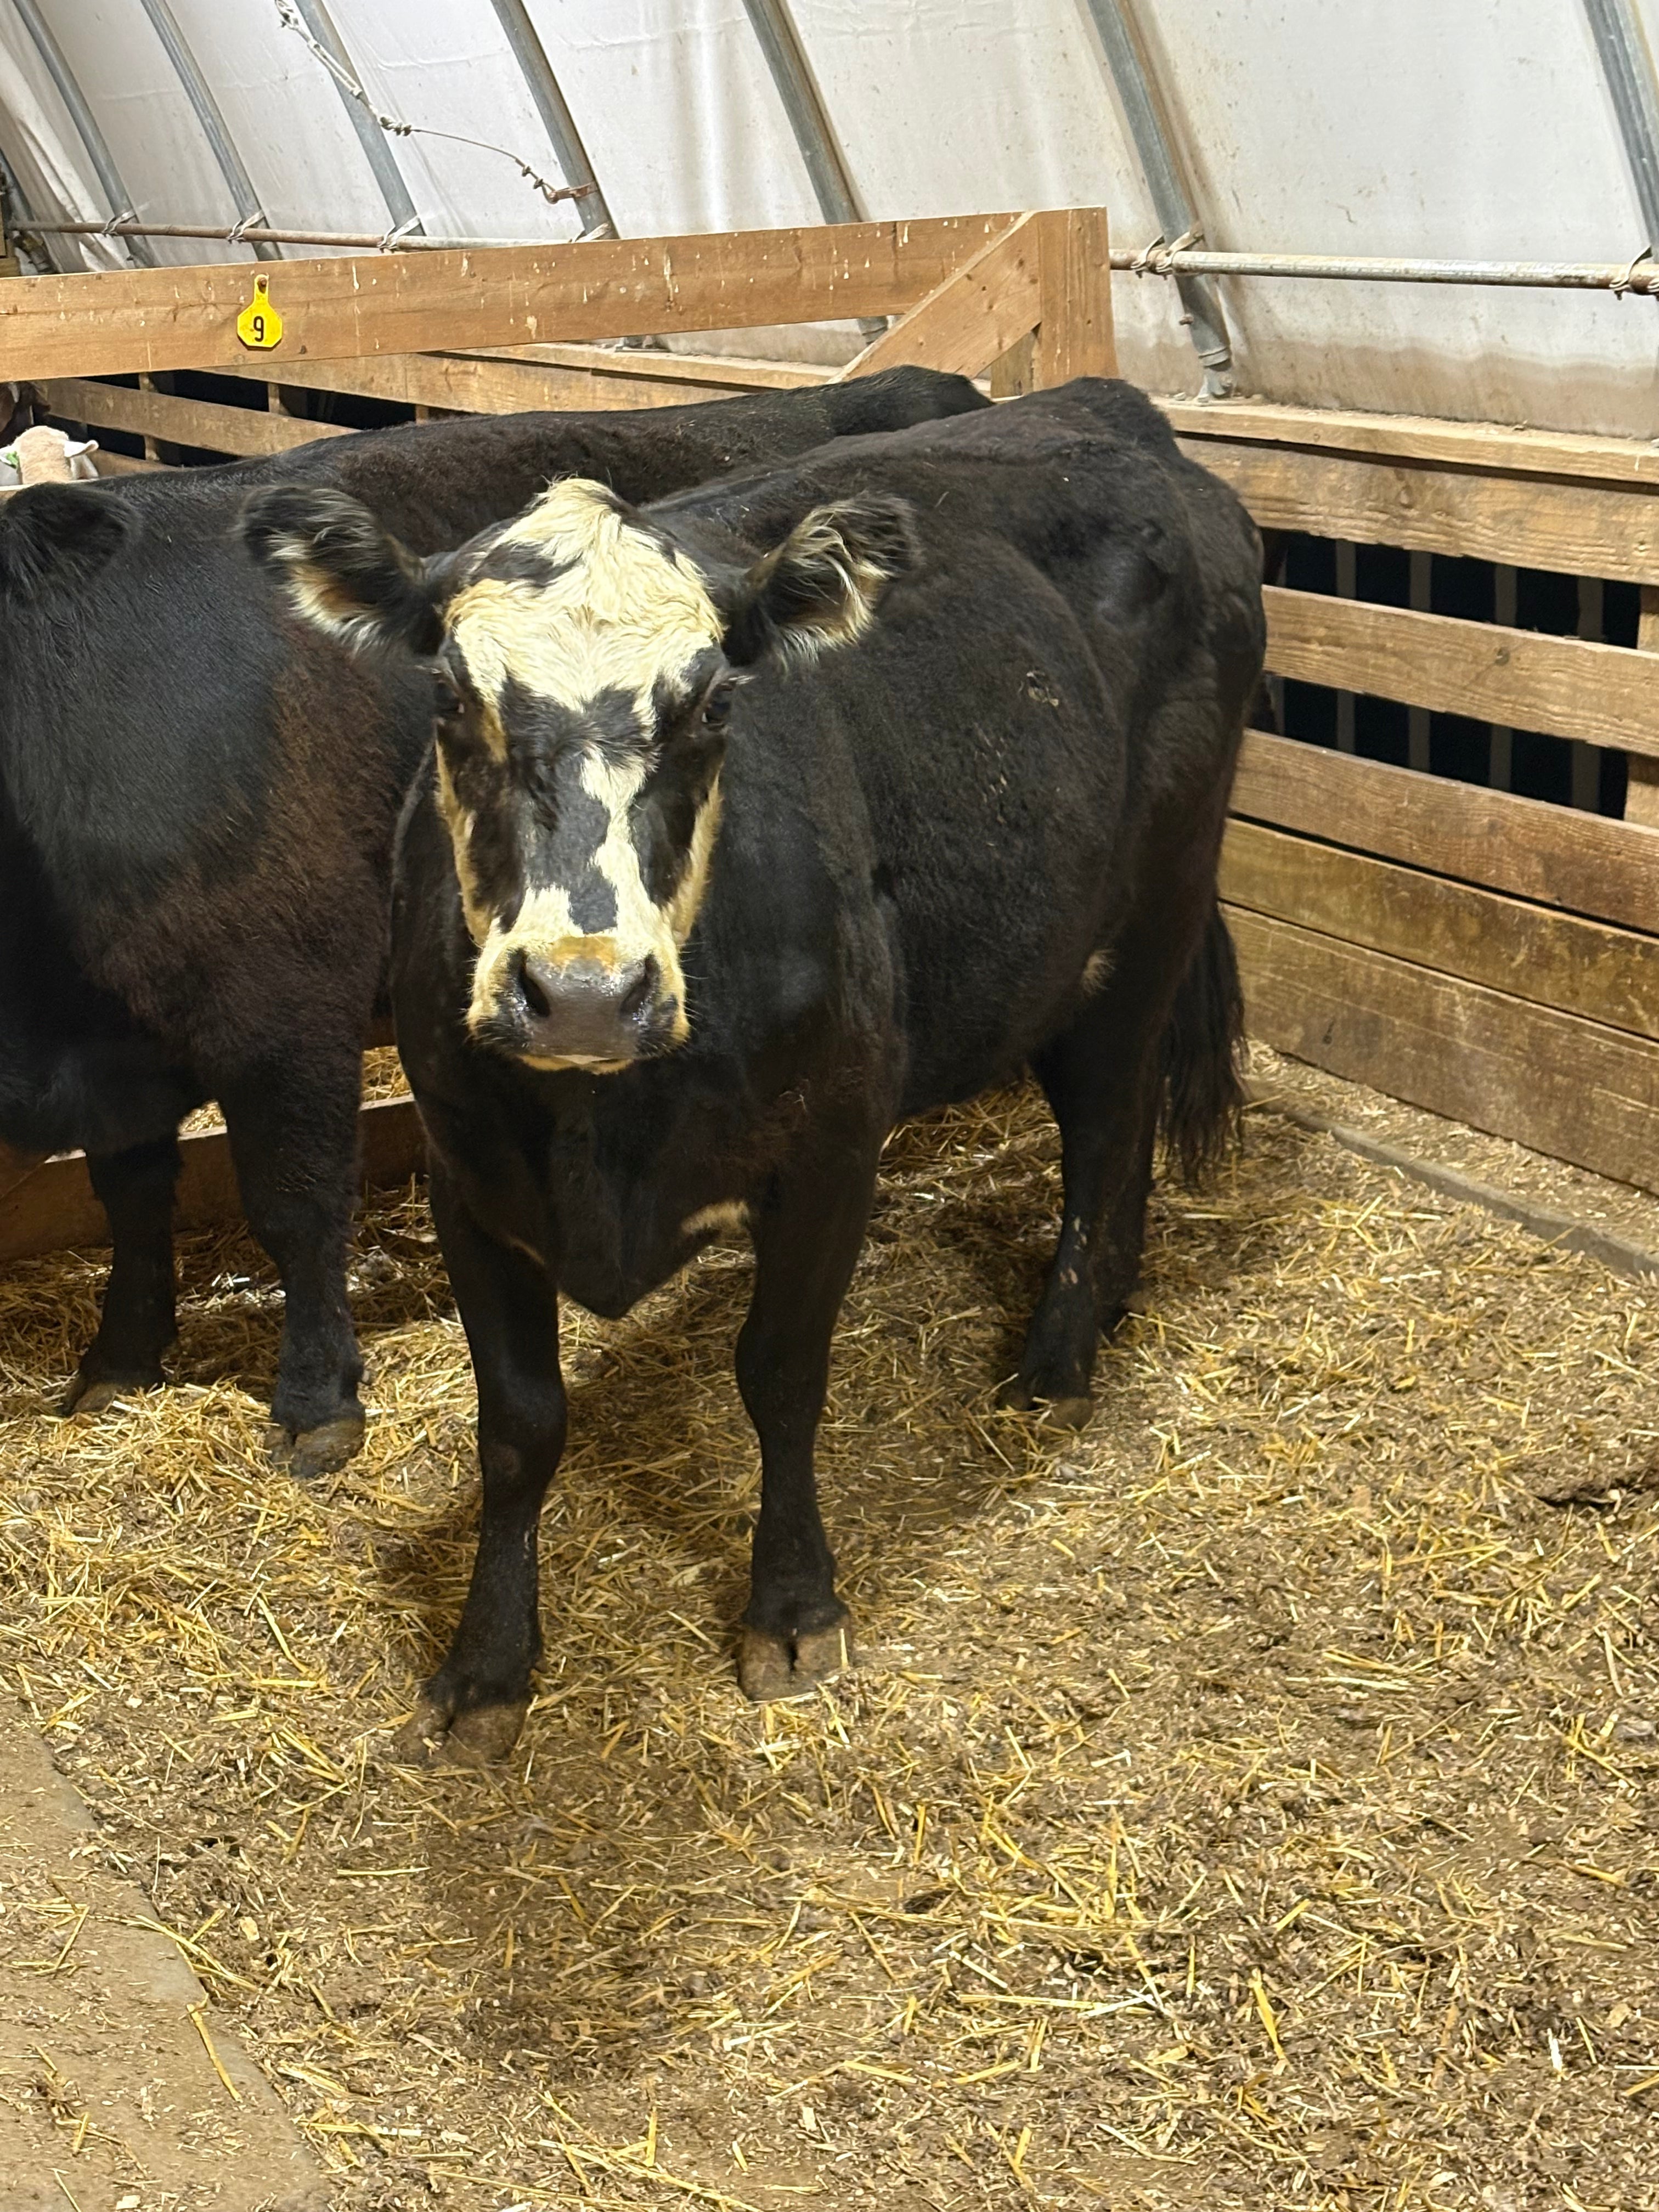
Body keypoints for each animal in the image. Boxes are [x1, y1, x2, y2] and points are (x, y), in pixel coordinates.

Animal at [0, 367, 987, 1476]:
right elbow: (130, 1195)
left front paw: (313, 1399)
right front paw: (118, 1357)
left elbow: (293, 1204)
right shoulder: (119, 1048)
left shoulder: (282, 1012)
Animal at [239, 376, 1267, 1757]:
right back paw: (1106, 1301)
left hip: (1154, 909)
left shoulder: (832, 1152)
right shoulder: (468, 1177)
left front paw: (790, 1609)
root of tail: (1117, 424)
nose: (582, 991)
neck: (607, 1137)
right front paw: (488, 1664)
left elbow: (780, 1377)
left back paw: (1056, 1362)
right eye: (452, 702)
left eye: (713, 705)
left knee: (1107, 1125)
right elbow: (518, 1424)